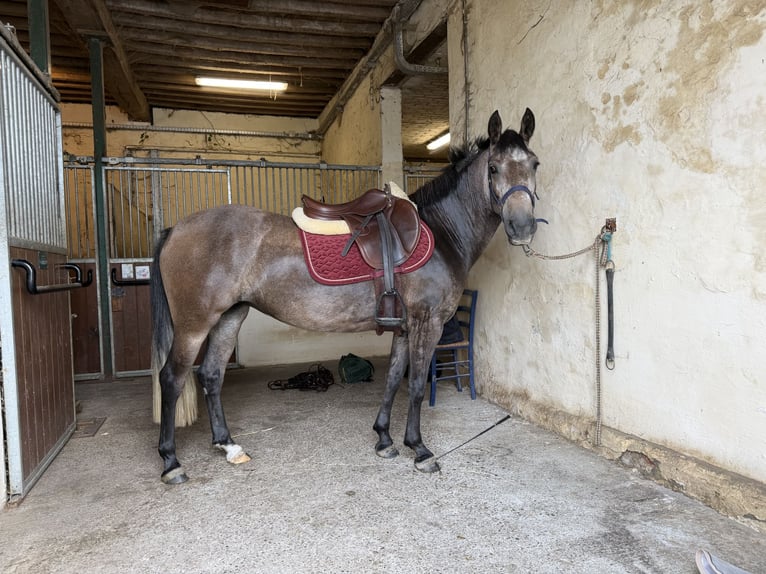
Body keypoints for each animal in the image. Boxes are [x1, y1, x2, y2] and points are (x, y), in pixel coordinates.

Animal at [151, 108, 541, 484]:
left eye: (534, 164)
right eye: (493, 167)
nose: (522, 227)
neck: (441, 233)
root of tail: (175, 229)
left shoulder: (404, 327)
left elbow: (393, 379)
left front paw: (384, 439)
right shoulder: (426, 323)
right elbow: (415, 384)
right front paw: (419, 449)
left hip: (229, 317)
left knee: (211, 375)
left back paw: (229, 446)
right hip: (194, 323)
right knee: (172, 378)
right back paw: (171, 462)